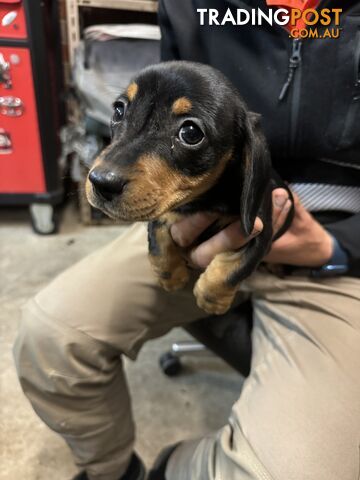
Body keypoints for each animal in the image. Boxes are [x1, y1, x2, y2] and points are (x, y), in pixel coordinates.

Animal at [86, 61, 292, 316]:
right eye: (118, 110)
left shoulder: (259, 227)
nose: (100, 182)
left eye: (191, 133)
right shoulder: (163, 210)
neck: (201, 201)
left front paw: (211, 298)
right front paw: (171, 277)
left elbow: (236, 267)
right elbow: (157, 241)